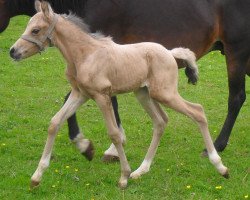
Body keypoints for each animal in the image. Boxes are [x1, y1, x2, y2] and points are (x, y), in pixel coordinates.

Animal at [10, 1, 229, 188]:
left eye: (35, 30)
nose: (13, 51)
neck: (85, 54)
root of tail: (170, 52)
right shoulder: (80, 94)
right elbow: (54, 123)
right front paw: (37, 176)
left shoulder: (101, 96)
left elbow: (114, 133)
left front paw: (123, 177)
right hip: (144, 94)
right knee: (161, 121)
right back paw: (141, 170)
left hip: (165, 94)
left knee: (197, 111)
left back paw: (221, 167)